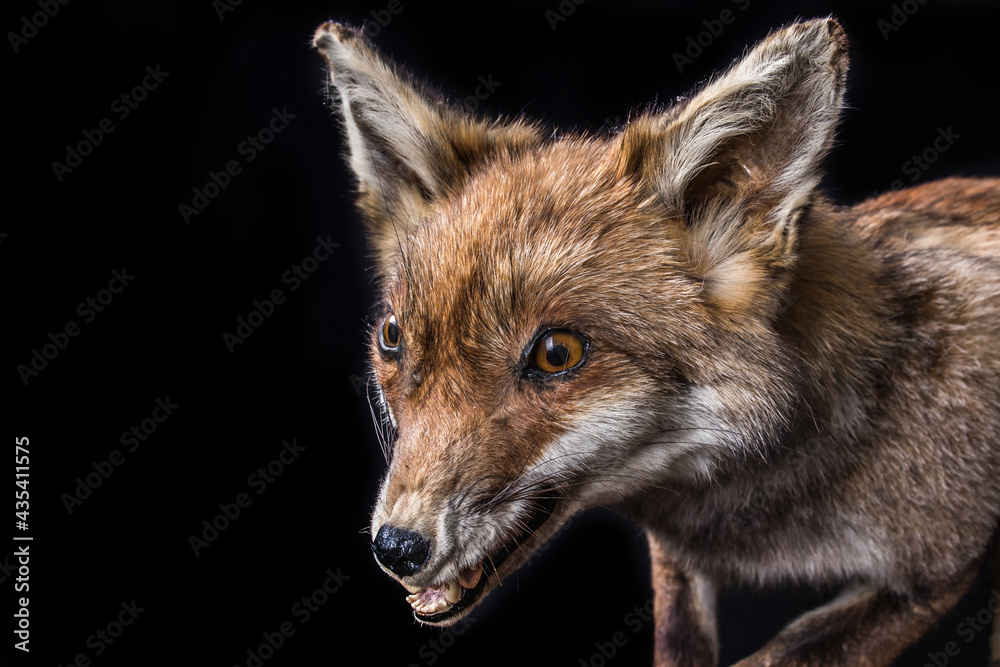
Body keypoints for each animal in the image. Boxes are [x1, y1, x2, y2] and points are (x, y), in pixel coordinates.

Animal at [312, 17, 1000, 667]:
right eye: (393, 338)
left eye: (556, 353)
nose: (396, 548)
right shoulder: (676, 557)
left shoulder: (944, 558)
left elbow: (787, 652)